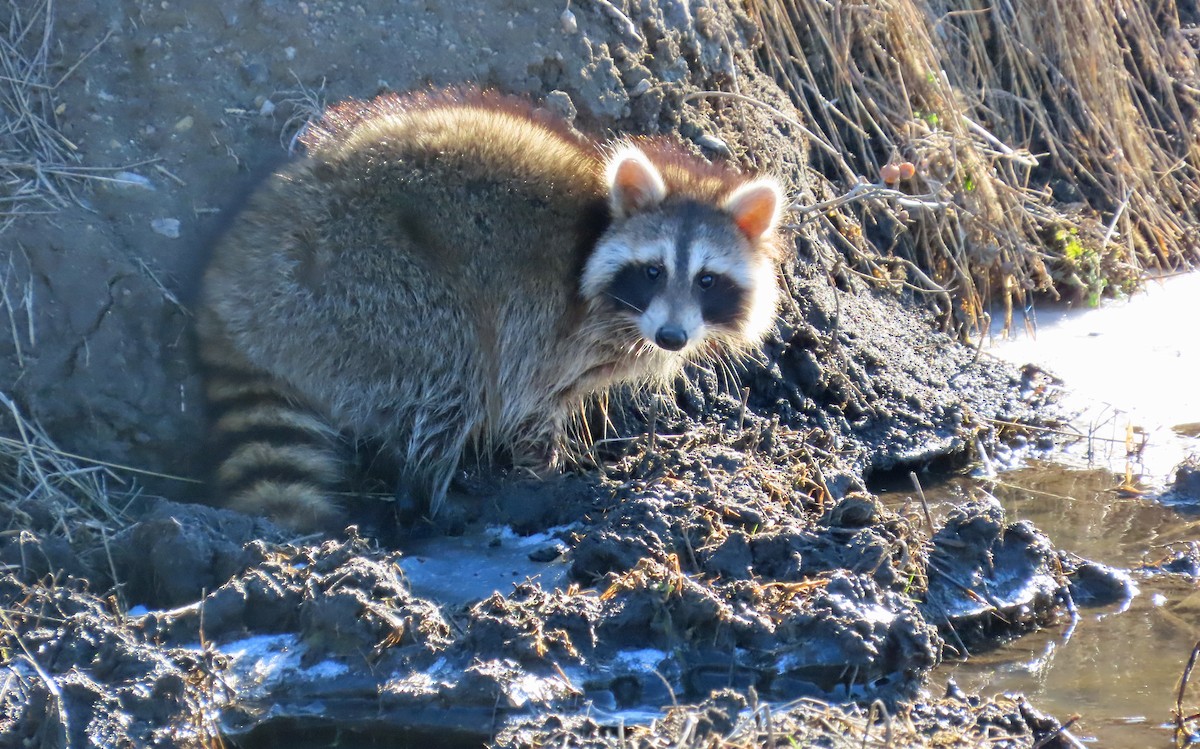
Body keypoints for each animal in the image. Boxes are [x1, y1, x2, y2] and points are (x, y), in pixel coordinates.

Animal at [197, 89, 787, 532]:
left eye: (707, 280)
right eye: (653, 271)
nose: (671, 338)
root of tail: (234, 269)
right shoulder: (550, 323)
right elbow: (527, 403)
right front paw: (547, 476)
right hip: (360, 275)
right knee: (451, 368)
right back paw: (429, 491)